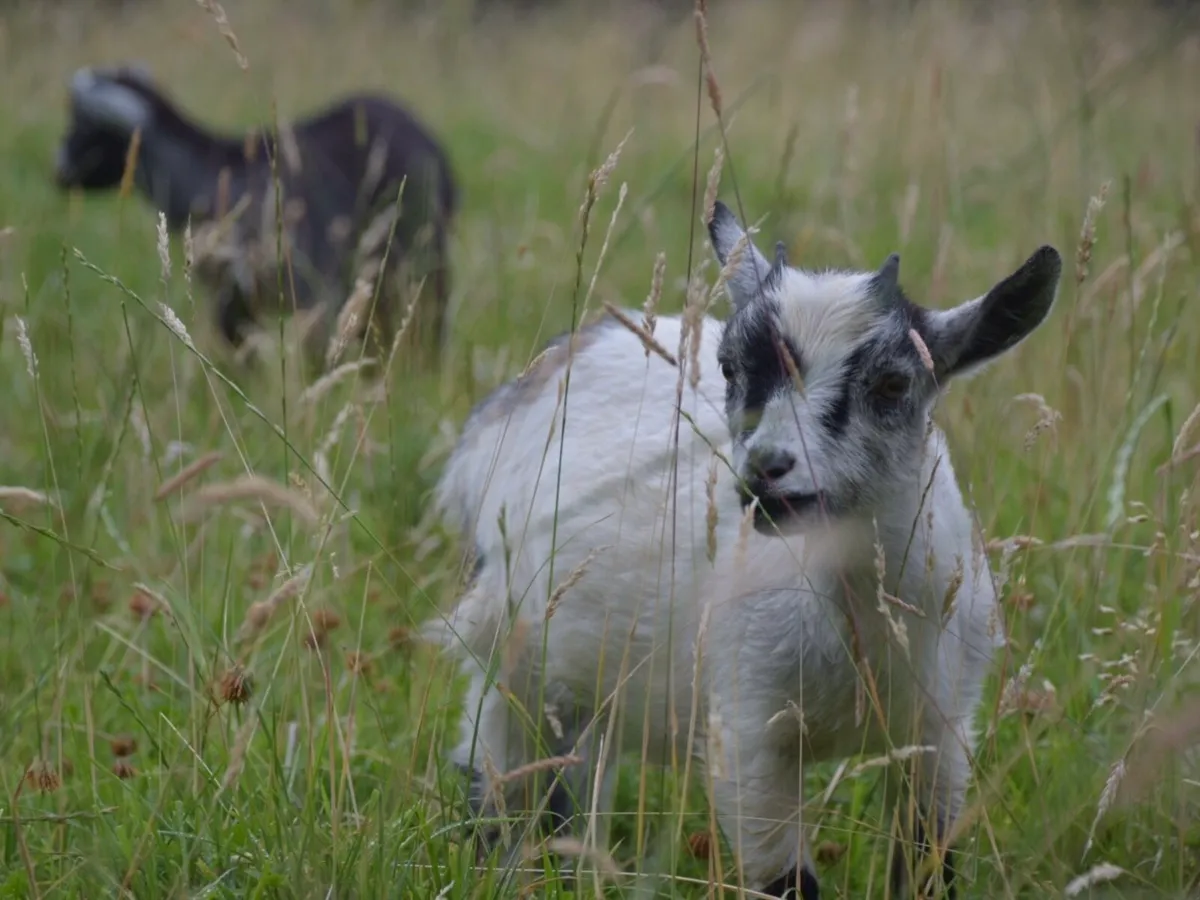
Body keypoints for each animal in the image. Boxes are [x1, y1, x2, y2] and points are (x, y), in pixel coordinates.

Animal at [425, 200, 1061, 898]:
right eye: (732, 368)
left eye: (893, 385)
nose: (767, 468)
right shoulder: (747, 730)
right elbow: (786, 882)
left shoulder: (942, 734)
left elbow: (929, 866)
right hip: (506, 645)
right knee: (498, 768)